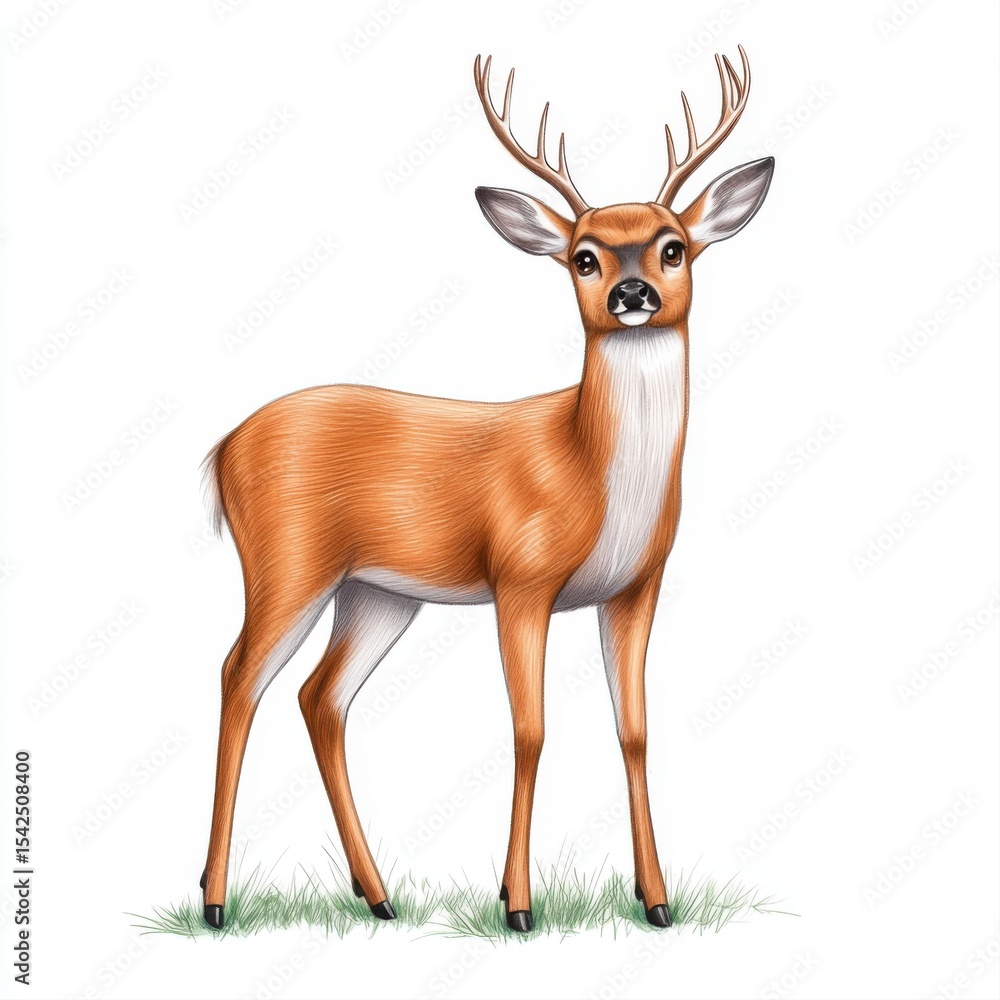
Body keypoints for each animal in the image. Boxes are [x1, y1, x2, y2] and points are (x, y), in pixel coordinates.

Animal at [198, 46, 773, 933]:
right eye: (583, 256)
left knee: (320, 698)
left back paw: (378, 895)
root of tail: (223, 447)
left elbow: (634, 731)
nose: (631, 295)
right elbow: (529, 731)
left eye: (673, 247)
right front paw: (518, 905)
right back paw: (216, 900)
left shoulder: (636, 586)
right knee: (236, 679)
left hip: (377, 592)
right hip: (286, 564)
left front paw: (657, 900)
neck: (587, 463)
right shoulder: (520, 580)